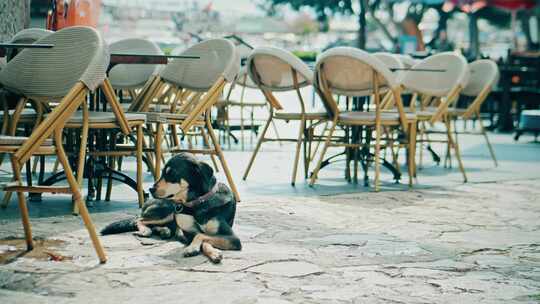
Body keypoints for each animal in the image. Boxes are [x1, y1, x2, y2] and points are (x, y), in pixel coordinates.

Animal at [102, 153, 242, 262]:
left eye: (172, 173)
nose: (150, 189)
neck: (197, 203)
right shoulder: (189, 234)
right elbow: (200, 236)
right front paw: (196, 249)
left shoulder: (233, 238)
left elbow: (203, 236)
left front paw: (210, 252)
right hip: (167, 210)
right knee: (139, 220)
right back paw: (148, 230)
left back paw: (164, 230)